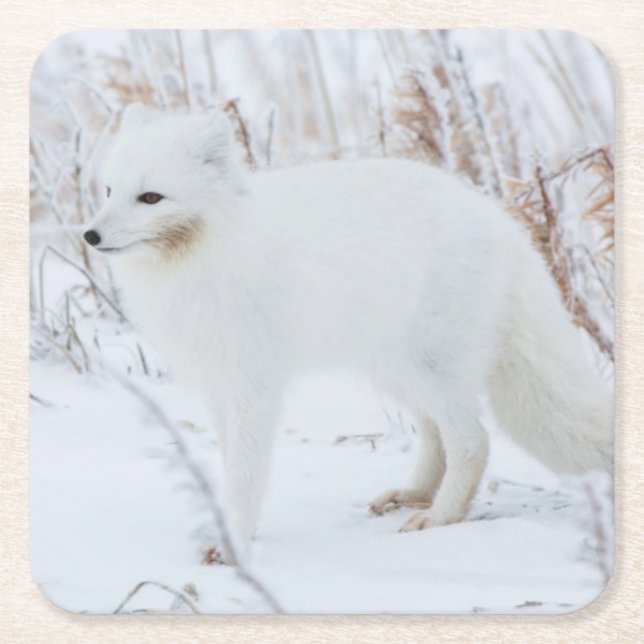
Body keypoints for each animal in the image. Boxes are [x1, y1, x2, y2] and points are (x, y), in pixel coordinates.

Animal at [84, 103, 612, 552]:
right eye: (108, 190)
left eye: (150, 197)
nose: (90, 235)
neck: (207, 253)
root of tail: (500, 220)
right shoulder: (218, 384)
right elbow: (231, 462)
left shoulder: (254, 386)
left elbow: (247, 471)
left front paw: (235, 538)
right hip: (396, 370)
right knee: (435, 435)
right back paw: (413, 494)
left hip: (431, 367)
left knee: (472, 442)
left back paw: (439, 517)